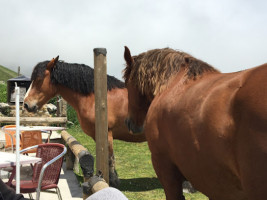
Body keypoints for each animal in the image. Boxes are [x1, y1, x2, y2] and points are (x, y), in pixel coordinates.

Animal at [23, 55, 147, 188]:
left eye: (39, 79)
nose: (26, 104)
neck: (96, 99)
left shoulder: (107, 134)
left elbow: (110, 159)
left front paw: (113, 182)